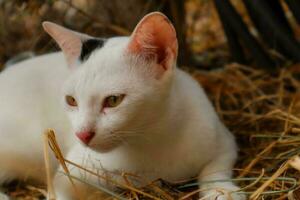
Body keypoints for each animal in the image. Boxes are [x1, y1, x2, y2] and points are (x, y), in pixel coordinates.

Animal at [0, 12, 245, 200]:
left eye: (113, 100)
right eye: (71, 100)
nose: (82, 134)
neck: (151, 138)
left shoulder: (223, 138)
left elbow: (216, 168)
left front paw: (221, 190)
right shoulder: (73, 169)